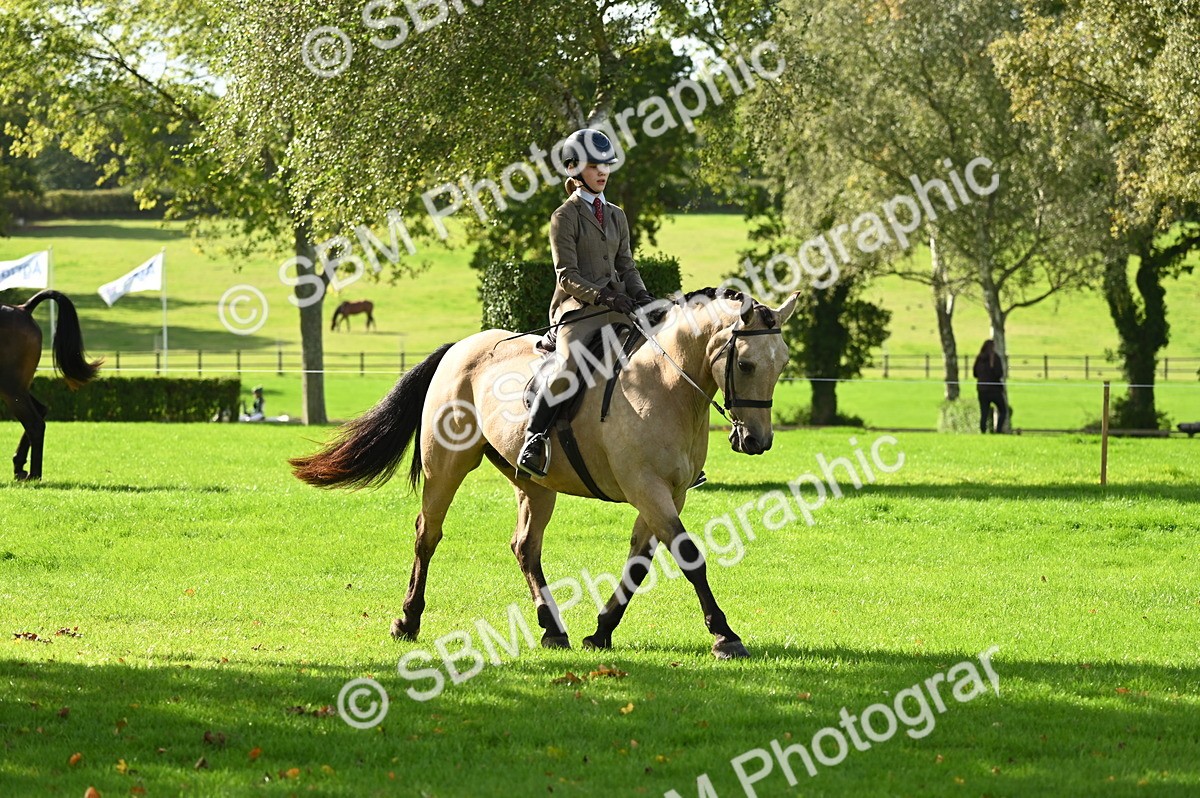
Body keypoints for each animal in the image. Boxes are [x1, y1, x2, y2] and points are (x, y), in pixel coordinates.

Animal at [0, 291, 101, 481]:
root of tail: (24, 309)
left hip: (11, 388)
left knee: (35, 424)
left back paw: (34, 475)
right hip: (17, 388)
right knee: (40, 411)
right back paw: (20, 466)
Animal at [291, 288, 798, 658]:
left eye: (783, 363)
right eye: (746, 363)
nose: (757, 441)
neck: (666, 385)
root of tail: (461, 347)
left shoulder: (668, 494)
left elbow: (639, 562)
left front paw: (601, 631)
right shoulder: (647, 488)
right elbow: (690, 557)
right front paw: (725, 635)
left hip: (535, 485)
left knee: (524, 547)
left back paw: (552, 628)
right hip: (446, 466)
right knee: (427, 535)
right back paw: (408, 620)